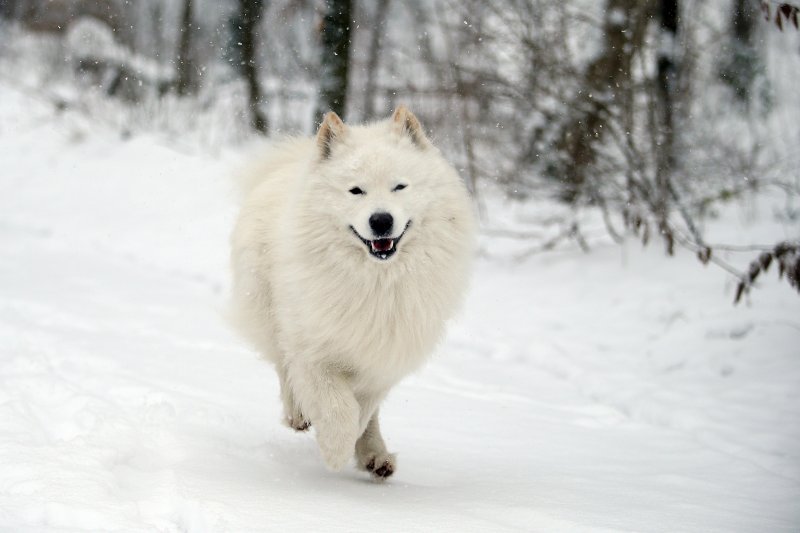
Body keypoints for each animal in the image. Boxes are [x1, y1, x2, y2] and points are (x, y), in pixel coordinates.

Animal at [228, 107, 472, 478]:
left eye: (399, 186)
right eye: (356, 191)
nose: (381, 220)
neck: (375, 281)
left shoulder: (383, 358)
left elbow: (363, 409)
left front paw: (357, 445)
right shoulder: (314, 352)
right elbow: (337, 406)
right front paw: (335, 450)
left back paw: (376, 456)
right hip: (267, 311)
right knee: (283, 365)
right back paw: (299, 414)